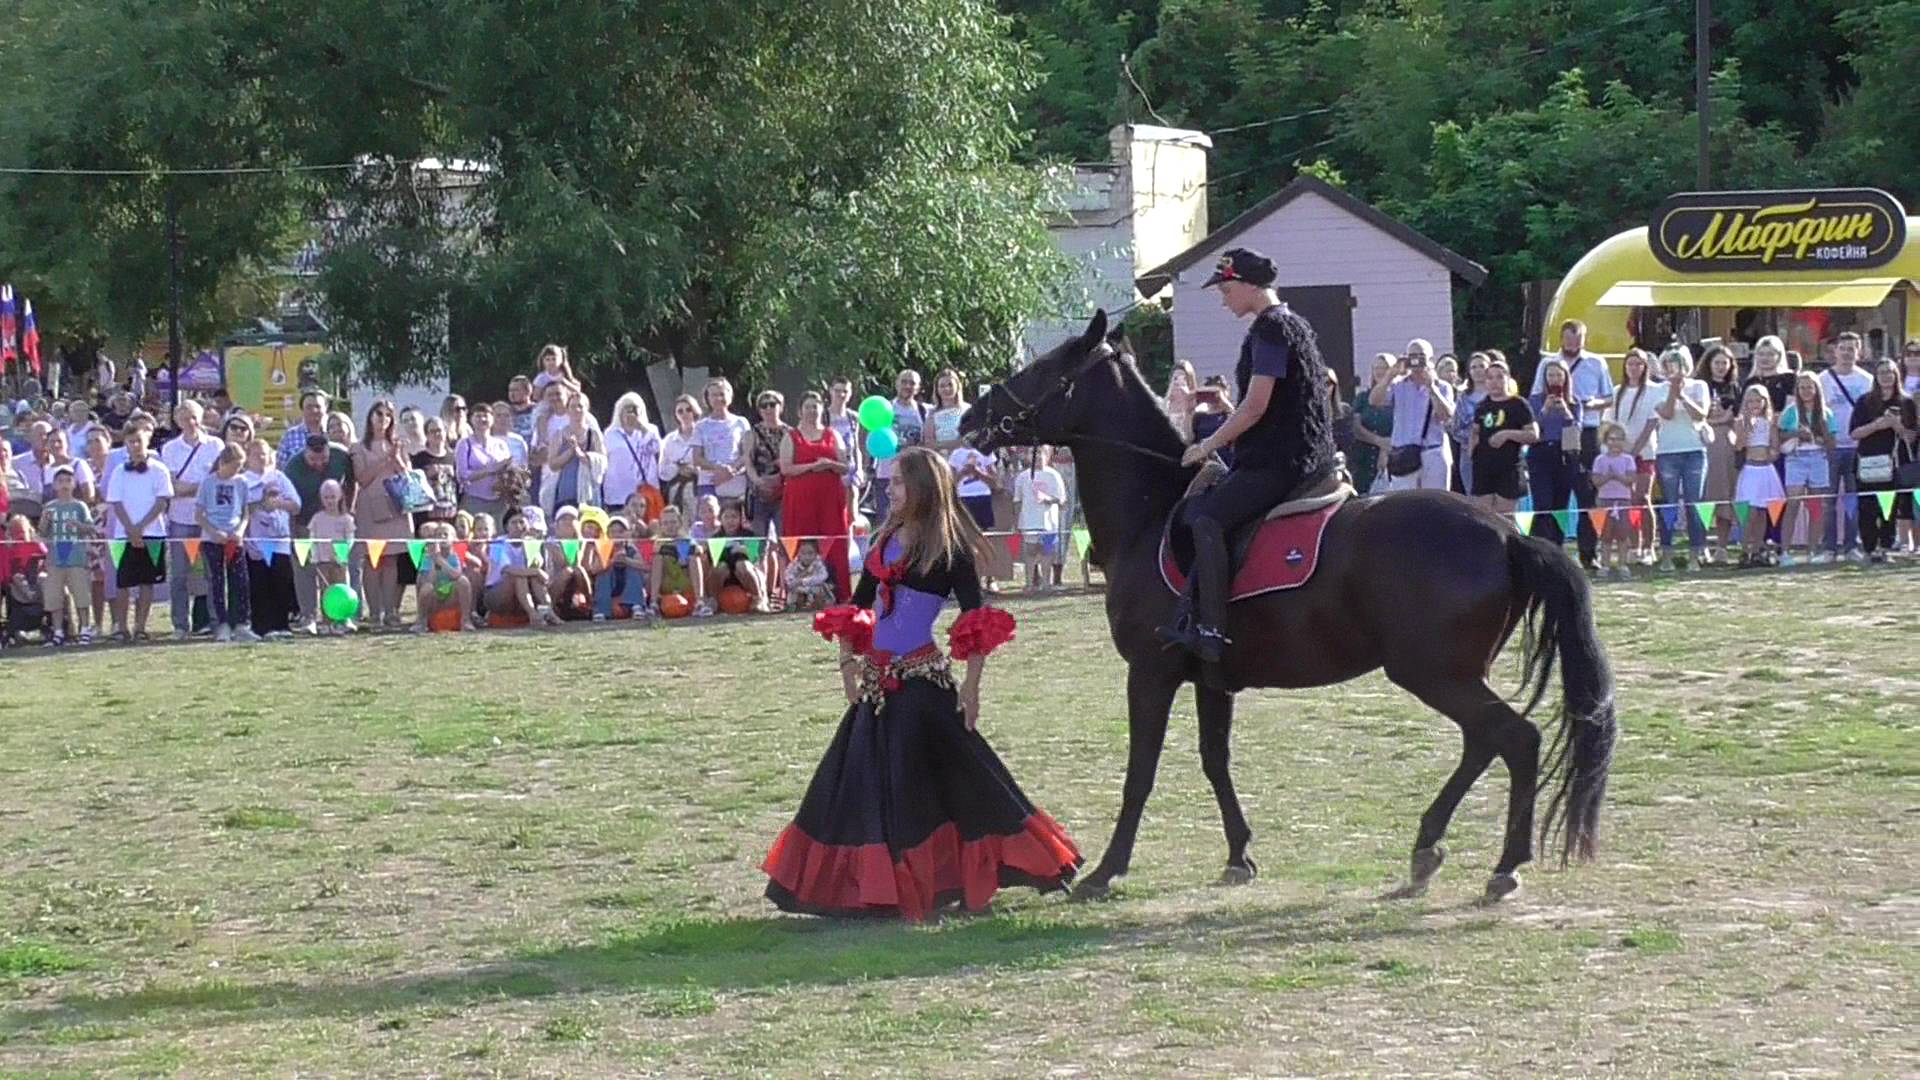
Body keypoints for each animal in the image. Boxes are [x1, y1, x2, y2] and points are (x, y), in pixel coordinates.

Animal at [960, 311, 1620, 899]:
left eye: (1042, 368)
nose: (969, 415)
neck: (1154, 514)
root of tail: (1507, 534)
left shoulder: (1150, 674)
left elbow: (1140, 772)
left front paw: (1106, 871)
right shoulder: (1211, 679)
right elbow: (1214, 760)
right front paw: (1238, 855)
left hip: (1433, 673)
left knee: (1516, 739)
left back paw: (1504, 866)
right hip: (1450, 674)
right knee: (1485, 741)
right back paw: (1428, 849)